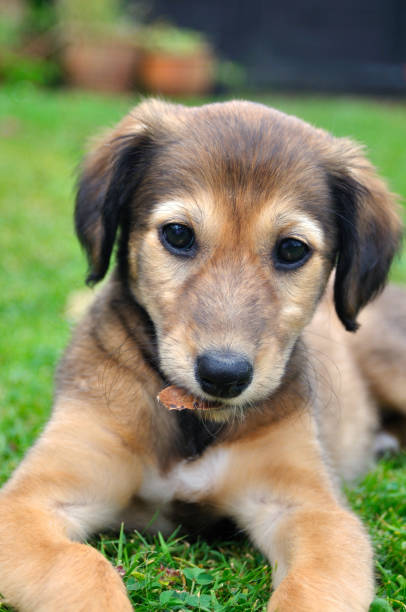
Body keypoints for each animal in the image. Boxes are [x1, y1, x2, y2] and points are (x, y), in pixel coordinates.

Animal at [0, 100, 404, 612]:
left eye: (292, 249)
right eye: (177, 234)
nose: (224, 375)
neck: (193, 423)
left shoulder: (313, 510)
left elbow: (310, 588)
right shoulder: (30, 503)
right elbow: (81, 566)